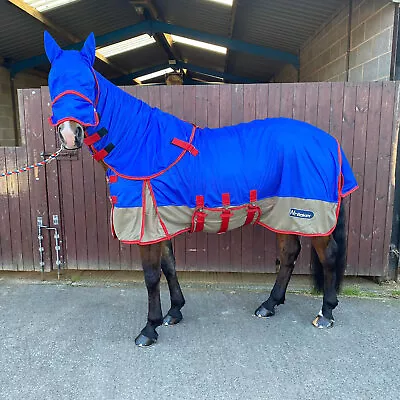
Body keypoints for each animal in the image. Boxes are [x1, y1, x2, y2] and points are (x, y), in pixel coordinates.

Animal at [44, 32, 360, 346]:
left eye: (87, 82)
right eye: (53, 82)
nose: (70, 134)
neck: (141, 145)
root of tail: (330, 143)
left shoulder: (147, 228)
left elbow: (151, 276)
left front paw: (149, 328)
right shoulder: (160, 222)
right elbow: (169, 266)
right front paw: (174, 312)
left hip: (311, 216)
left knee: (329, 257)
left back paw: (326, 313)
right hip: (284, 213)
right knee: (290, 253)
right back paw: (269, 304)